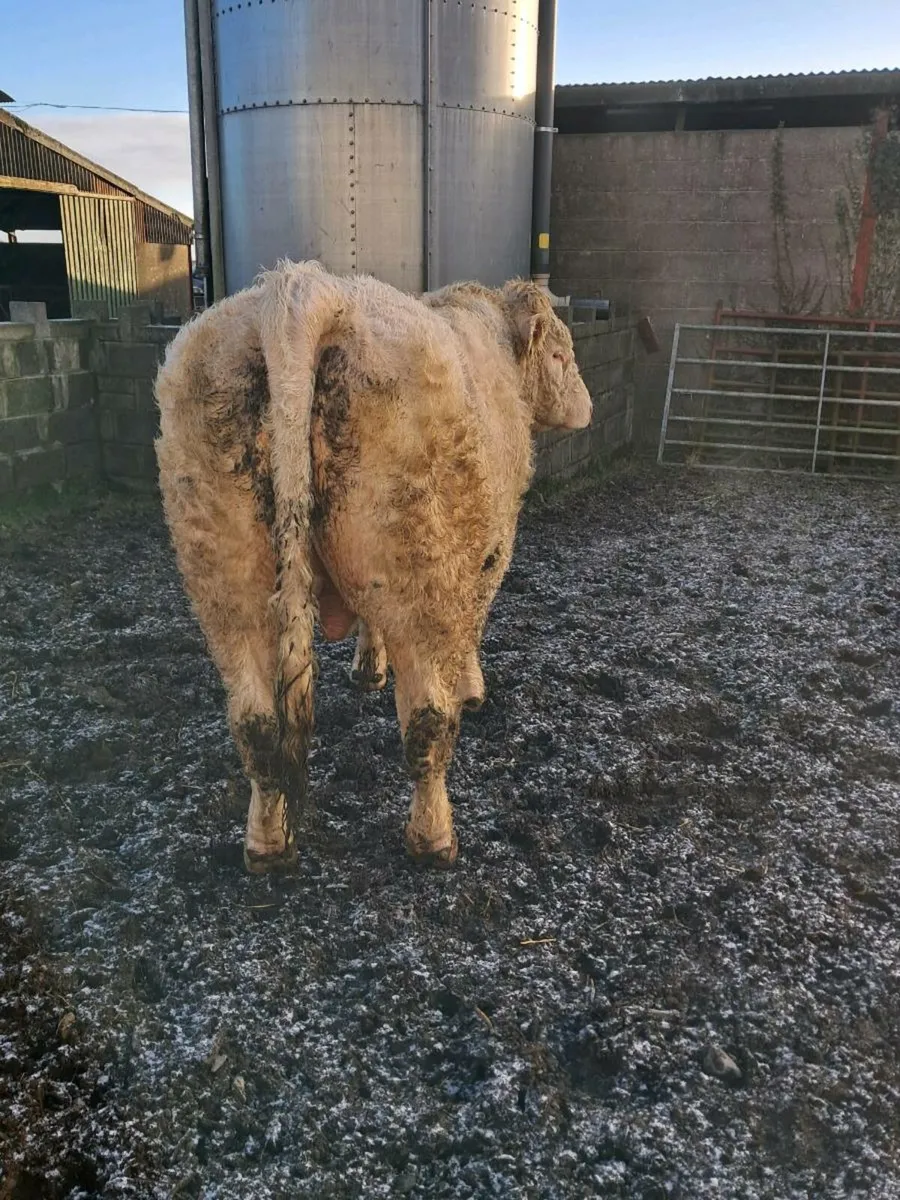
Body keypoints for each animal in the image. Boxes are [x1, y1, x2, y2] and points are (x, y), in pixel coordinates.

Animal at [154, 260, 591, 873]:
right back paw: (434, 839)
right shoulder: (489, 551)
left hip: (227, 576)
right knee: (427, 719)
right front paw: (472, 689)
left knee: (256, 723)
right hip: (421, 568)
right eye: (559, 355)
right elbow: (471, 632)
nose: (587, 405)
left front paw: (367, 670)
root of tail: (303, 289)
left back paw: (267, 844)